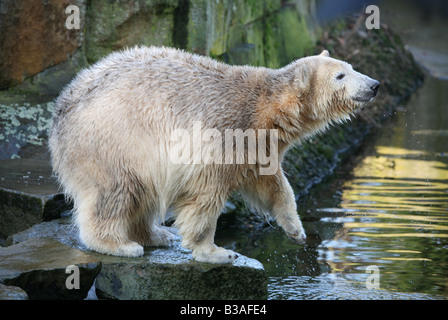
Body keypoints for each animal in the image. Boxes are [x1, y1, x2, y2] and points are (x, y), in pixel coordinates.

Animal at [48, 47, 378, 262]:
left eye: (350, 67)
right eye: (340, 75)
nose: (374, 84)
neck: (265, 109)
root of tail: (61, 110)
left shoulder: (258, 146)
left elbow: (272, 184)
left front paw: (296, 230)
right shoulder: (223, 134)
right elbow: (206, 195)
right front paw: (216, 252)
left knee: (143, 193)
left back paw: (156, 235)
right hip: (112, 141)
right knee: (116, 191)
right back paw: (119, 244)